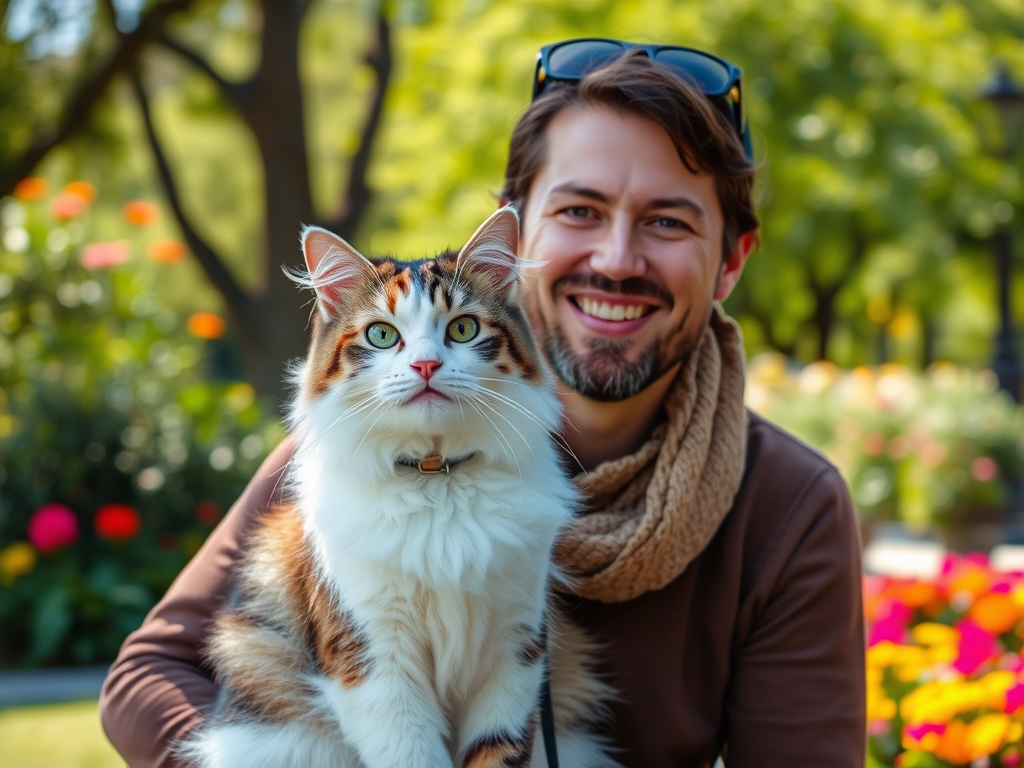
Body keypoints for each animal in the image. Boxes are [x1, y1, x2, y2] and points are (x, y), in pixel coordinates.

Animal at [178, 205, 614, 768]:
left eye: (463, 329)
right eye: (383, 336)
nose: (426, 365)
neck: (437, 477)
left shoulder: (515, 655)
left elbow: (496, 750)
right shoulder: (375, 662)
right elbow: (412, 753)